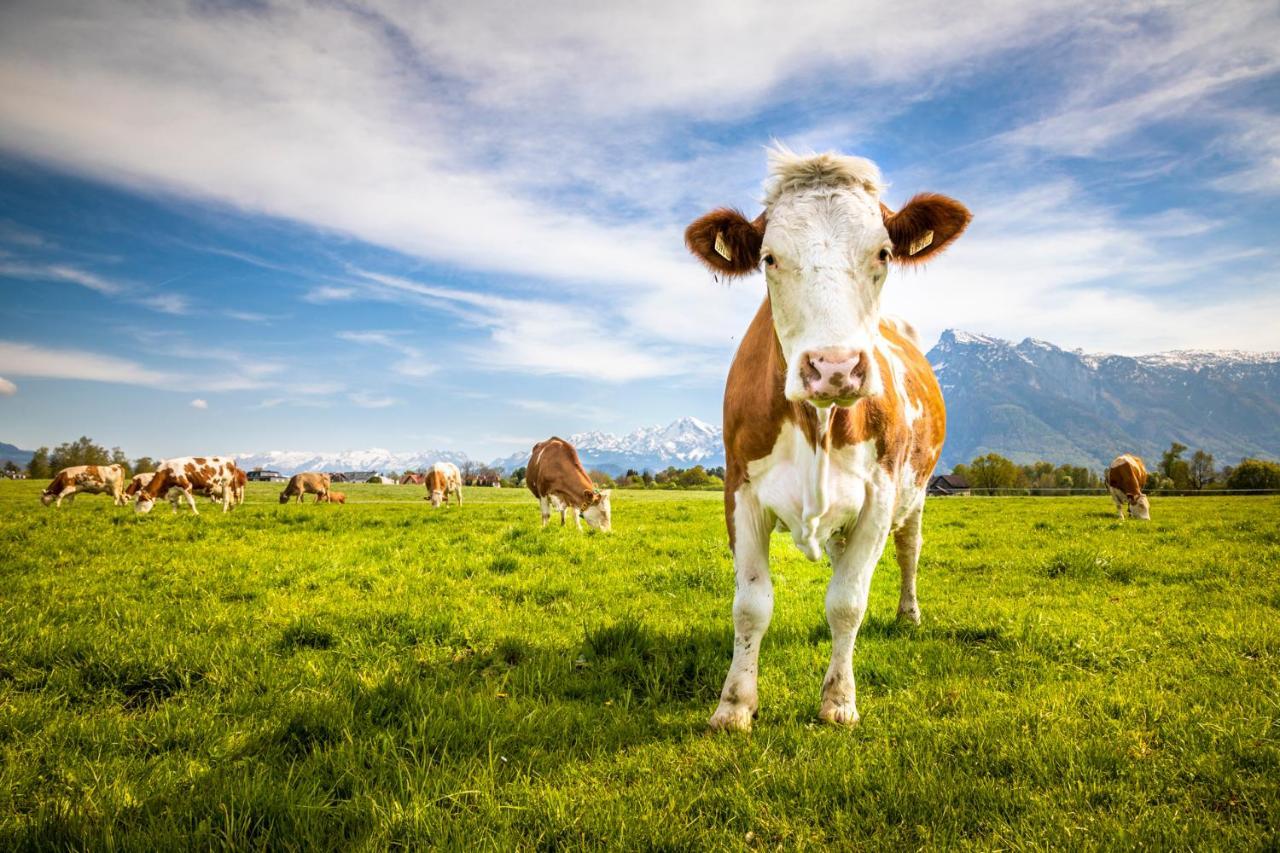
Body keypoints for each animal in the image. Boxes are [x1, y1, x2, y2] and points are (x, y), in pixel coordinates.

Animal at [686, 144, 962, 722]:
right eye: (769, 258)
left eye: (883, 253)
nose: (834, 367)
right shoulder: (740, 489)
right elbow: (751, 606)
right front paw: (735, 705)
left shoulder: (880, 495)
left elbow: (847, 603)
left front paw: (838, 700)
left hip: (916, 493)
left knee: (909, 551)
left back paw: (908, 614)